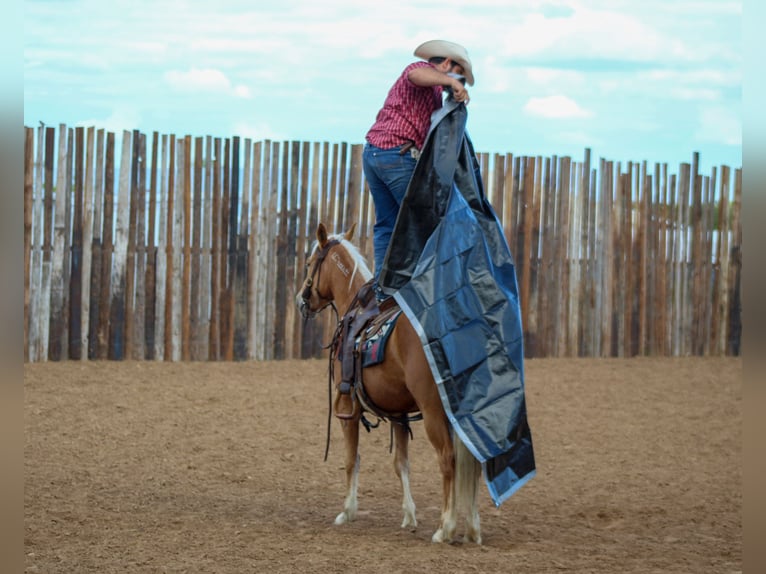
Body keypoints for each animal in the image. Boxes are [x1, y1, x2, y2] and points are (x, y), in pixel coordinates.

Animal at [296, 223, 484, 548]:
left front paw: (347, 511)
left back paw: (445, 527)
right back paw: (472, 527)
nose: (301, 300)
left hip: (434, 412)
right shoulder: (398, 412)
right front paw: (409, 516)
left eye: (309, 263)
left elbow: (351, 459)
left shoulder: (349, 410)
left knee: (448, 459)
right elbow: (401, 463)